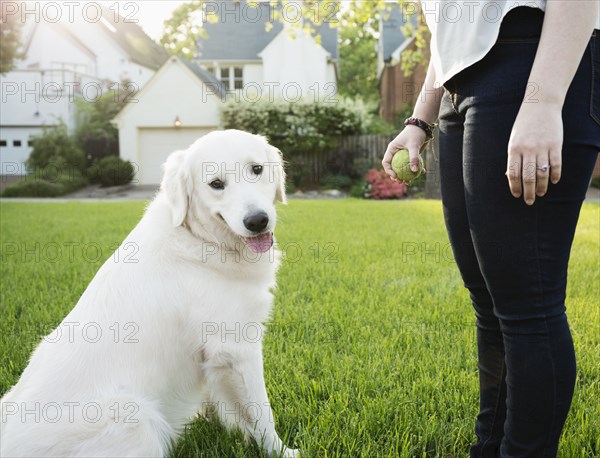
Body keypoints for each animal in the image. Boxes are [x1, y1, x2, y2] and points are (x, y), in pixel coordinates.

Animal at [0, 130, 298, 458]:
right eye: (216, 184)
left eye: (256, 169)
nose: (257, 221)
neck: (199, 238)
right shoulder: (237, 347)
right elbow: (261, 411)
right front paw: (280, 450)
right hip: (135, 416)